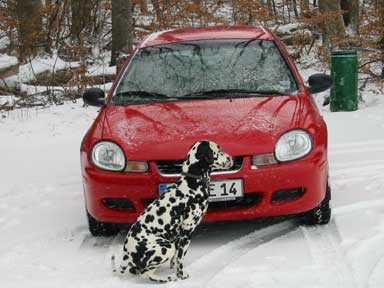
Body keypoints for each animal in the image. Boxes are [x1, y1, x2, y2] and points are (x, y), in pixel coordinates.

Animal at [111, 141, 231, 282]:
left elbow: (176, 258)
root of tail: (126, 253)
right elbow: (180, 258)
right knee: (145, 272)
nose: (231, 158)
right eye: (219, 150)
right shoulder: (187, 232)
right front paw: (181, 275)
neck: (192, 183)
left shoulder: (178, 236)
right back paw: (166, 279)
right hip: (166, 247)